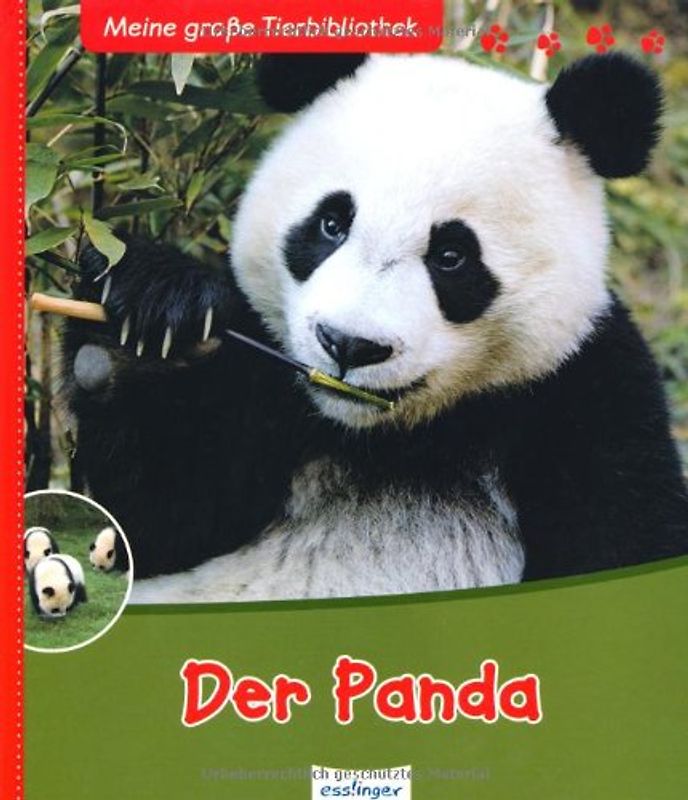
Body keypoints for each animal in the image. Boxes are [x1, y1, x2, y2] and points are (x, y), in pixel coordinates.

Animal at [62, 52, 688, 602]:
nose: (350, 345)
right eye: (331, 224)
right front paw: (148, 319)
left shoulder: (584, 390)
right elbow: (157, 522)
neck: (391, 437)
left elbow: (625, 542)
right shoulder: (265, 370)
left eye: (452, 257)